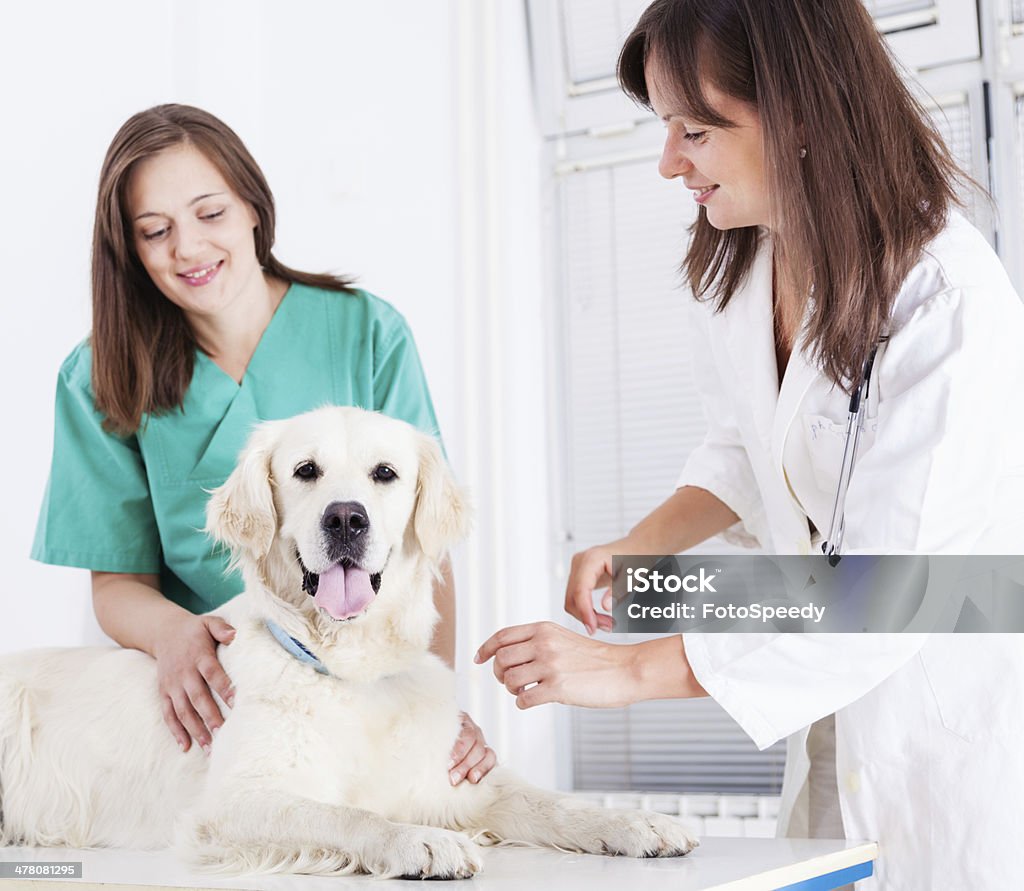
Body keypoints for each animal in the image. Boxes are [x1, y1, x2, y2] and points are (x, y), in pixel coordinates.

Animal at [0, 409, 696, 880]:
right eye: (305, 471)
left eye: (384, 474)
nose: (344, 518)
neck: (350, 664)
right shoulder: (231, 804)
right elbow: (345, 815)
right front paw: (420, 842)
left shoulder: (457, 781)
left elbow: (553, 803)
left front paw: (637, 822)